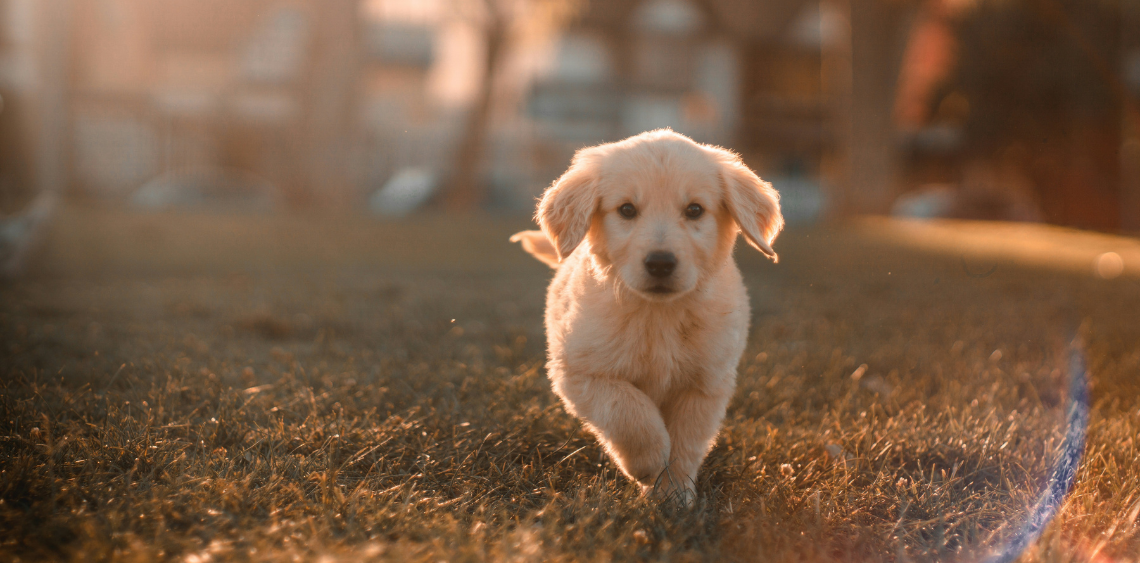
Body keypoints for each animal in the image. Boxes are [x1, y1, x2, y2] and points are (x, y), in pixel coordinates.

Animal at [510, 127, 784, 501]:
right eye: (627, 209)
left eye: (695, 210)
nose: (660, 263)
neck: (659, 314)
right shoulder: (581, 372)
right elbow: (628, 411)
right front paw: (649, 462)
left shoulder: (706, 383)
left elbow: (686, 442)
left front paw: (674, 494)